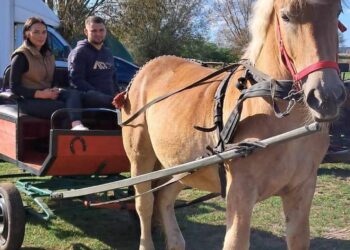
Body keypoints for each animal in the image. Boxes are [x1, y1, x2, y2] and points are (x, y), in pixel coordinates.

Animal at [119, 0, 346, 249]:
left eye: (337, 13)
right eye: (286, 17)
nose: (327, 97)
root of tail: (145, 70)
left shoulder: (302, 191)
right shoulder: (240, 195)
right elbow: (235, 241)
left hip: (180, 167)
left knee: (164, 199)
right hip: (141, 159)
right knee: (145, 204)